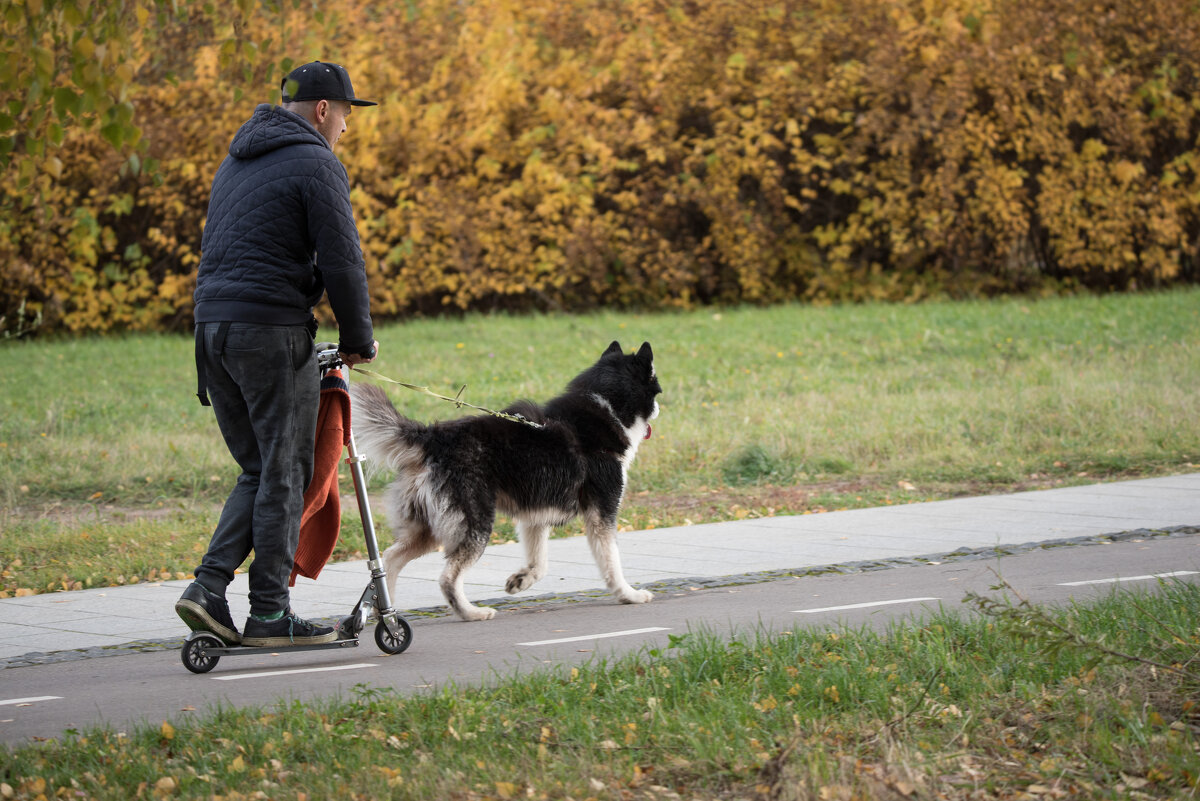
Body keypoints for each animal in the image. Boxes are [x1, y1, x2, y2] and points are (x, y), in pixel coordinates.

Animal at [348, 340, 667, 623]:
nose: (660, 410)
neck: (606, 407)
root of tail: (433, 437)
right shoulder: (601, 514)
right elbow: (612, 562)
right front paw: (628, 594)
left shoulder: (536, 516)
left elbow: (539, 563)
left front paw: (522, 580)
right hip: (473, 525)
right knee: (447, 578)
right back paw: (470, 613)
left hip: (427, 529)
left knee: (389, 559)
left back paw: (386, 613)